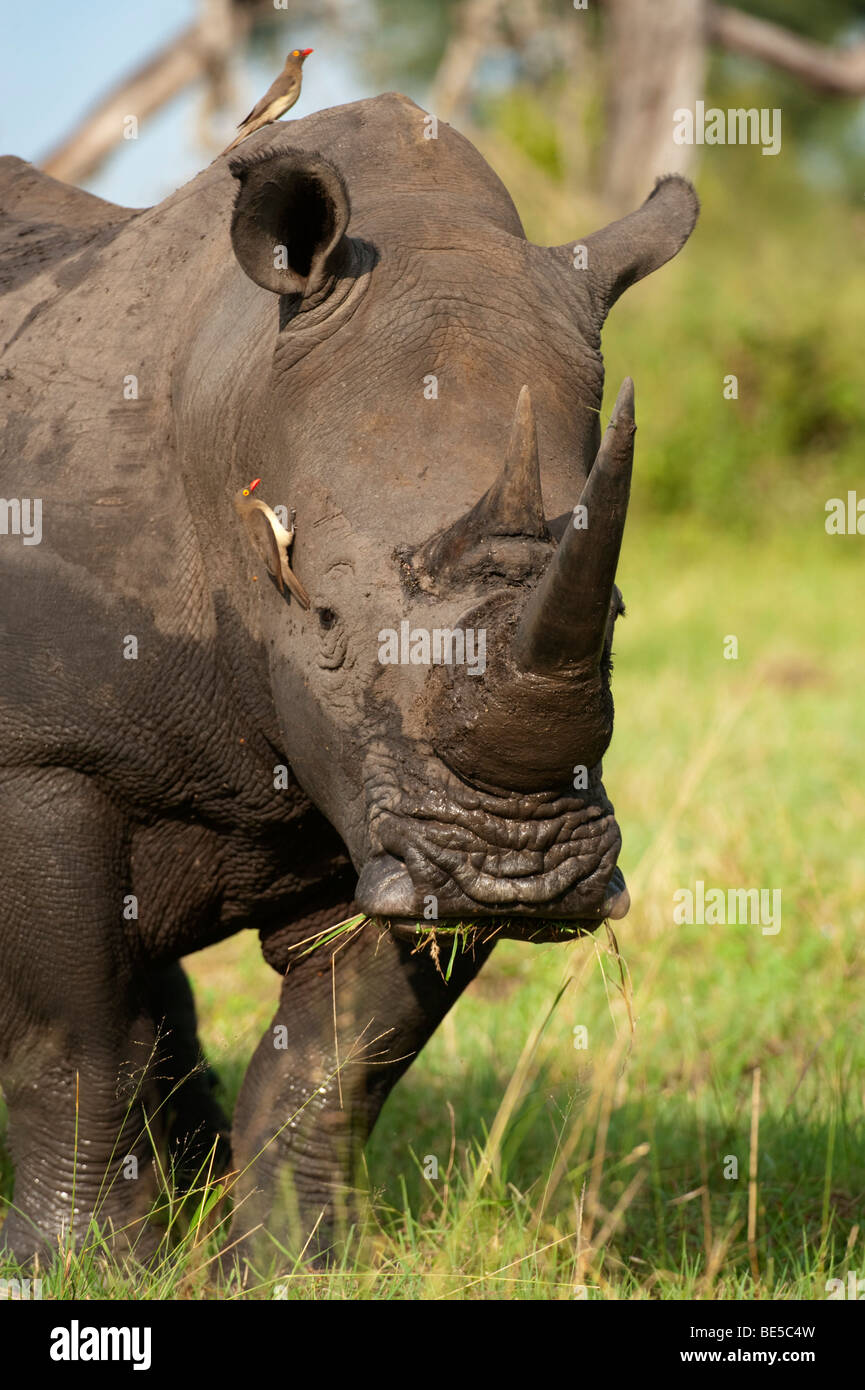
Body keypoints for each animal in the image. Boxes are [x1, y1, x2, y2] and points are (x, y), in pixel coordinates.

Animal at [0, 93, 697, 1267]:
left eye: (614, 618)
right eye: (322, 621)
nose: (520, 874)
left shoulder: (389, 799)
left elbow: (333, 1061)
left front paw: (295, 1263)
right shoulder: (42, 751)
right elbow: (75, 1038)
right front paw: (72, 1269)